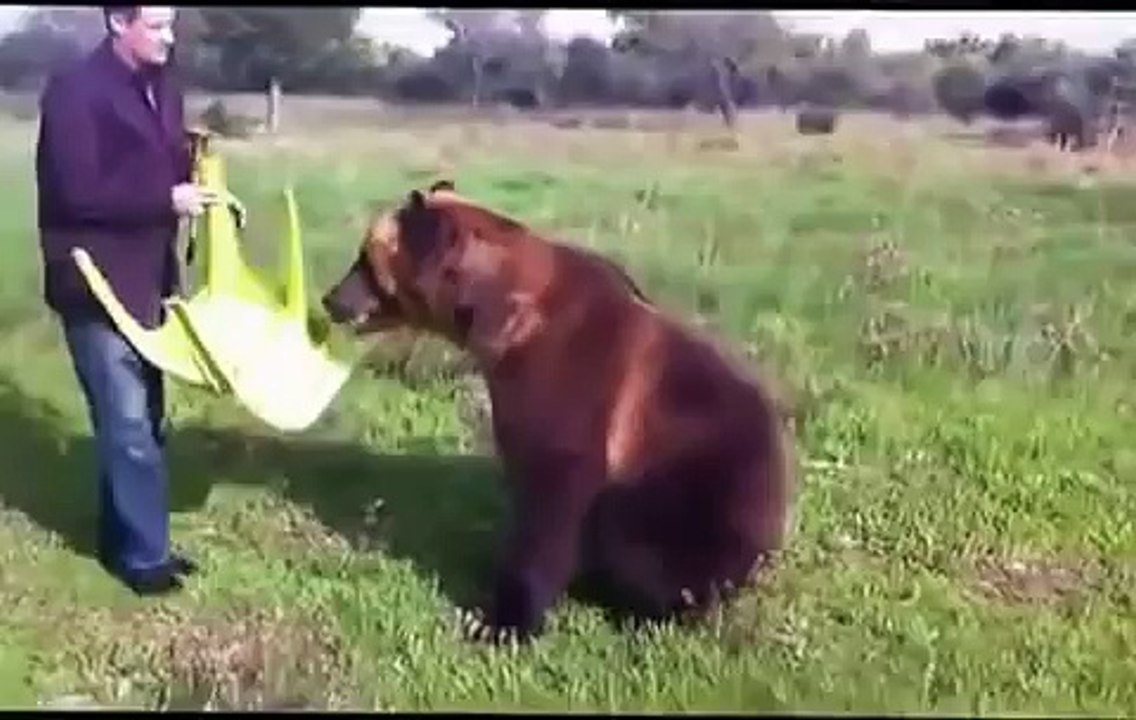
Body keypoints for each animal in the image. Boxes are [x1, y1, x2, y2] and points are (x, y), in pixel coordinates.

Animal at [320, 180, 796, 643]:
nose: (329, 299)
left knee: (645, 542)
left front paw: (500, 621)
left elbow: (554, 500)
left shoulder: (571, 375)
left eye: (364, 259)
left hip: (700, 490)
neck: (499, 317)